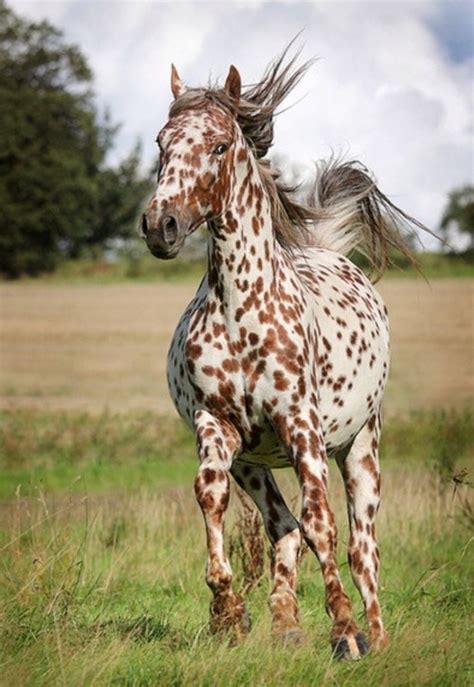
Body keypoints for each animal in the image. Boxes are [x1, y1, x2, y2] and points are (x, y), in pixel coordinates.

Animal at [139, 48, 428, 660]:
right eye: (161, 143)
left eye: (219, 145)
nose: (160, 226)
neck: (242, 310)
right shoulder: (218, 426)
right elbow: (211, 496)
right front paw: (229, 614)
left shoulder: (301, 427)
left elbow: (324, 525)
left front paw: (344, 632)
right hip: (255, 463)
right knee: (283, 527)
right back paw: (286, 624)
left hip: (361, 447)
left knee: (362, 548)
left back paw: (376, 636)